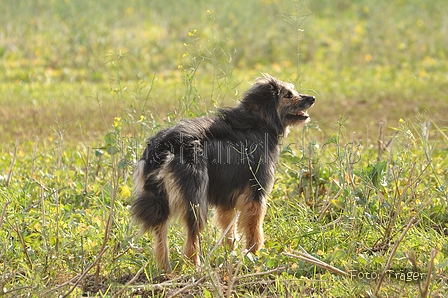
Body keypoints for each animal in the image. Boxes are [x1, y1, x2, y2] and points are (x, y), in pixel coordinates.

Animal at [131, 73, 316, 272]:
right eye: (288, 95)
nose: (312, 98)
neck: (259, 121)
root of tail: (164, 145)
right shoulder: (256, 194)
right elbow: (254, 231)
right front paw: (254, 257)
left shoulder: (226, 198)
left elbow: (229, 232)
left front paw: (230, 255)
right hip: (196, 199)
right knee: (191, 239)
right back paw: (194, 267)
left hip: (159, 199)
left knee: (160, 237)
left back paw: (165, 269)